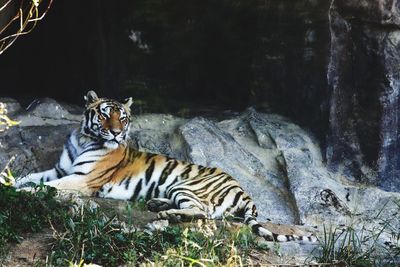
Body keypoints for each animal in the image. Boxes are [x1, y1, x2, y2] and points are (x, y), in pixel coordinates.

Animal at [14, 91, 316, 244]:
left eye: (123, 118)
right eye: (105, 114)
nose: (116, 133)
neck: (84, 138)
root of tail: (244, 190)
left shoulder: (82, 179)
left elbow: (46, 187)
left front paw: (22, 193)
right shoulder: (61, 170)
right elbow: (29, 176)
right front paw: (13, 183)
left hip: (186, 185)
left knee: (204, 213)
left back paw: (168, 215)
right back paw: (158, 205)